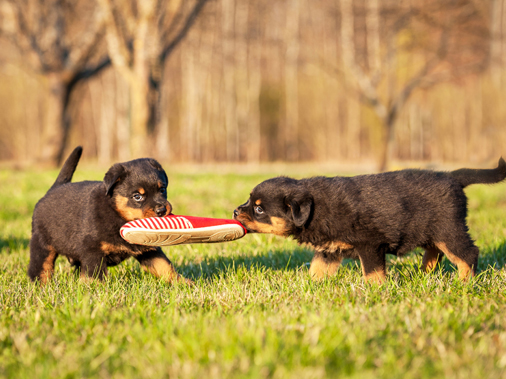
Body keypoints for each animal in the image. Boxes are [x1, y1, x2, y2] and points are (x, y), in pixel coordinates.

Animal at [234, 159, 506, 284]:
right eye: (250, 201)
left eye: (259, 208)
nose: (236, 212)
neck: (316, 209)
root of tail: (453, 177)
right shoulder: (329, 249)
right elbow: (317, 268)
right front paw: (312, 285)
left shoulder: (370, 244)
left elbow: (372, 272)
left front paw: (376, 290)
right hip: (432, 230)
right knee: (434, 251)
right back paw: (424, 272)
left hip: (449, 229)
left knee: (467, 253)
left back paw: (464, 281)